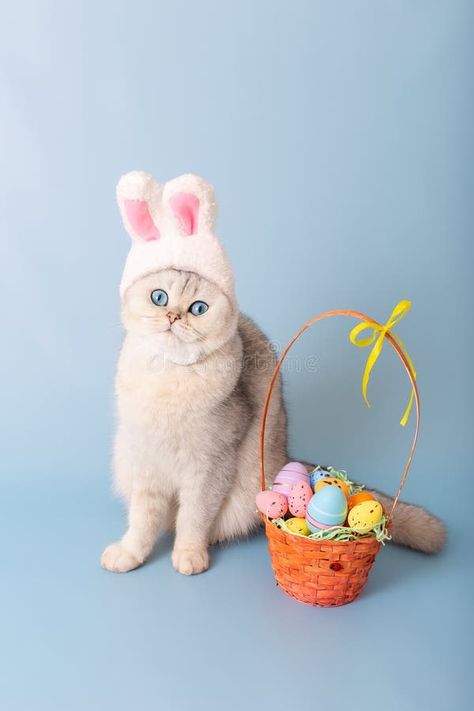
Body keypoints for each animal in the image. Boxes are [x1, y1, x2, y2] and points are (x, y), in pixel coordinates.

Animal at [100, 172, 444, 580]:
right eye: (158, 298)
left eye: (198, 308)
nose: (173, 317)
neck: (170, 379)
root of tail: (286, 459)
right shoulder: (146, 465)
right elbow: (142, 521)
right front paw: (130, 553)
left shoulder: (209, 468)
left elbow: (193, 518)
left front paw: (188, 554)